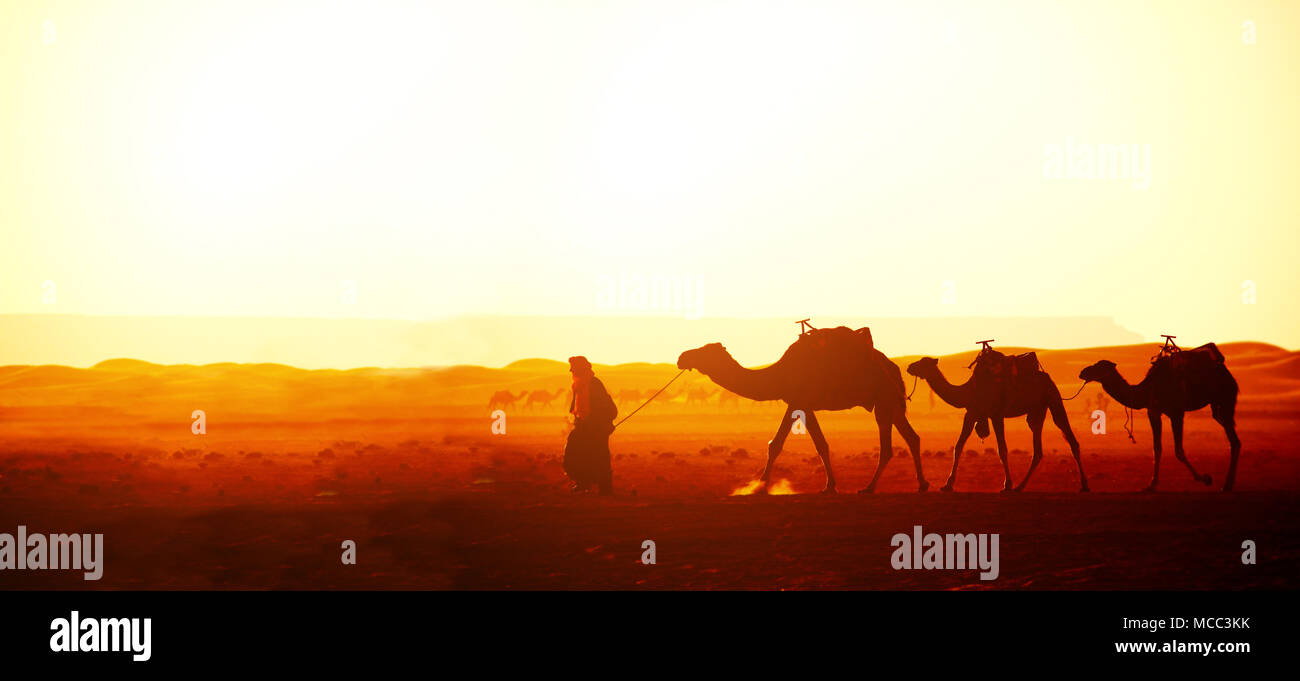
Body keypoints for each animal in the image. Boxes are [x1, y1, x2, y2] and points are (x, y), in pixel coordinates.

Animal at [681, 327, 925, 491]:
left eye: (704, 352)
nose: (682, 357)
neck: (778, 375)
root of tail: (894, 369)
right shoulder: (803, 405)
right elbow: (818, 445)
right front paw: (829, 485)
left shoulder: (798, 402)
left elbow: (778, 444)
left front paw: (760, 485)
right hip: (892, 403)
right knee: (912, 437)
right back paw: (922, 484)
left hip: (884, 399)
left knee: (887, 447)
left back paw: (869, 487)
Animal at [909, 353, 1092, 491]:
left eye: (923, 363)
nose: (909, 367)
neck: (968, 391)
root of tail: (1047, 376)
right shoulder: (972, 413)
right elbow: (958, 446)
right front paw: (947, 485)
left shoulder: (996, 414)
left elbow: (1002, 449)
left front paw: (1007, 484)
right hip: (1037, 410)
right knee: (1037, 447)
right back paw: (1020, 486)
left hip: (1053, 398)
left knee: (1069, 437)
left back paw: (1084, 485)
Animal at [1076, 343, 1237, 491]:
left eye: (1099, 367)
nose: (1083, 372)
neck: (1146, 390)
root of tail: (1226, 372)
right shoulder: (1153, 412)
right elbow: (1157, 448)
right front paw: (1152, 484)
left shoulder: (1176, 412)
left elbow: (1178, 451)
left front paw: (1204, 478)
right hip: (1216, 406)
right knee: (1229, 432)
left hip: (1226, 398)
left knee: (1234, 441)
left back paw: (1228, 485)